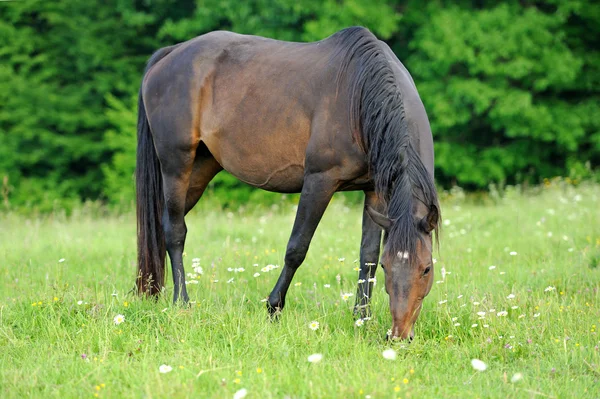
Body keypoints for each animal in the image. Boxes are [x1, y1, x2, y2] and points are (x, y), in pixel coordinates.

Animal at [136, 26, 440, 340]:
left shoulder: (374, 192)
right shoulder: (319, 181)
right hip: (176, 165)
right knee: (175, 231)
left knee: (163, 225)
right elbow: (297, 248)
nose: (399, 335)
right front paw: (273, 307)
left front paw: (361, 318)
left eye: (426, 268)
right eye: (388, 267)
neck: (361, 97)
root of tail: (170, 53)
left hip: (201, 169)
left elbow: (366, 255)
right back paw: (181, 302)